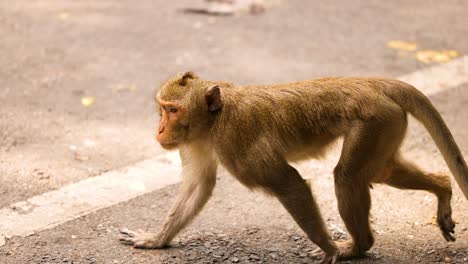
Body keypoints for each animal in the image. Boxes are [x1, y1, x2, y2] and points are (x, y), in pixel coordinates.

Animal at [119, 72, 466, 264]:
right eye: (162, 109)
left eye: (173, 110)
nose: (159, 130)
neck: (214, 121)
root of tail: (369, 82)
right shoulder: (196, 143)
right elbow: (198, 186)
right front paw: (157, 240)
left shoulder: (236, 141)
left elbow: (290, 184)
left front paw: (329, 249)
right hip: (387, 122)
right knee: (383, 172)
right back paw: (442, 187)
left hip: (373, 121)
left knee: (348, 177)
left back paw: (357, 247)